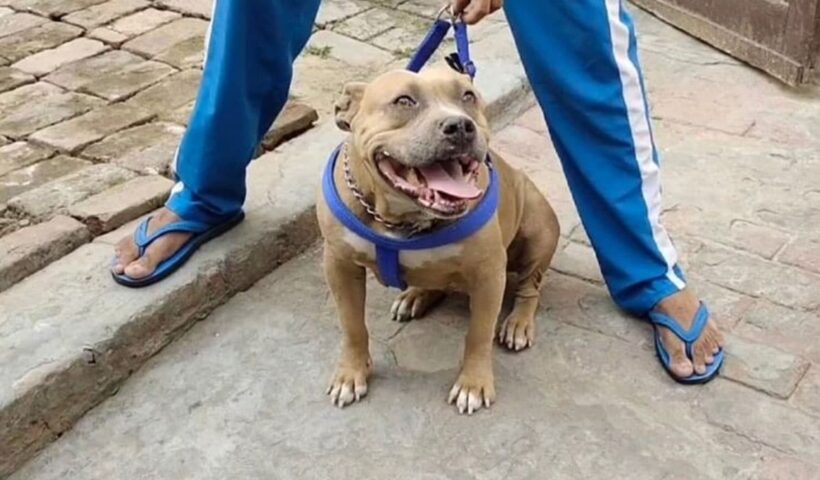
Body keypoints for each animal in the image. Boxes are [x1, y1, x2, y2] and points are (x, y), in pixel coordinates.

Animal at [317, 65, 560, 414]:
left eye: (468, 96)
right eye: (404, 101)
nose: (460, 125)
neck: (400, 218)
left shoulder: (489, 275)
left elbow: (478, 334)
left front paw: (473, 384)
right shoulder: (339, 265)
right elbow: (352, 326)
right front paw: (351, 374)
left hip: (539, 231)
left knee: (530, 288)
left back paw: (518, 323)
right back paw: (415, 296)